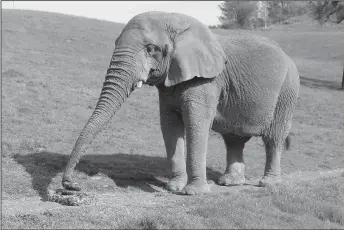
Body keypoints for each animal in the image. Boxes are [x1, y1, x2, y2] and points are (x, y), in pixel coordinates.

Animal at [61, 10, 298, 194]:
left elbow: (196, 124)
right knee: (234, 139)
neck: (176, 23)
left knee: (274, 138)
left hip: (287, 91)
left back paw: (268, 184)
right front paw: (173, 188)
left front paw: (193, 192)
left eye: (151, 49)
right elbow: (169, 125)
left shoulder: (207, 81)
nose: (72, 185)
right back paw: (230, 182)